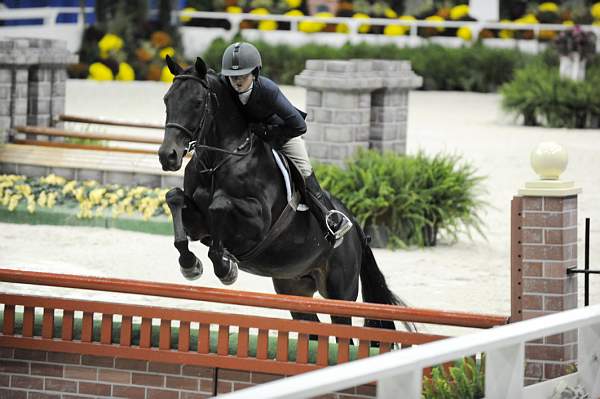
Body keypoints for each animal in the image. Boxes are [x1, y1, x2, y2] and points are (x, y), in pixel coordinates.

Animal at [158, 55, 412, 332]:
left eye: (196, 103)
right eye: (167, 99)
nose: (167, 156)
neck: (218, 161)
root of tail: (356, 228)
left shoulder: (258, 224)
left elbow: (220, 205)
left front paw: (226, 268)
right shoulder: (198, 225)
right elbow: (174, 197)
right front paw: (190, 264)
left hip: (340, 293)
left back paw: (334, 223)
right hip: (294, 288)